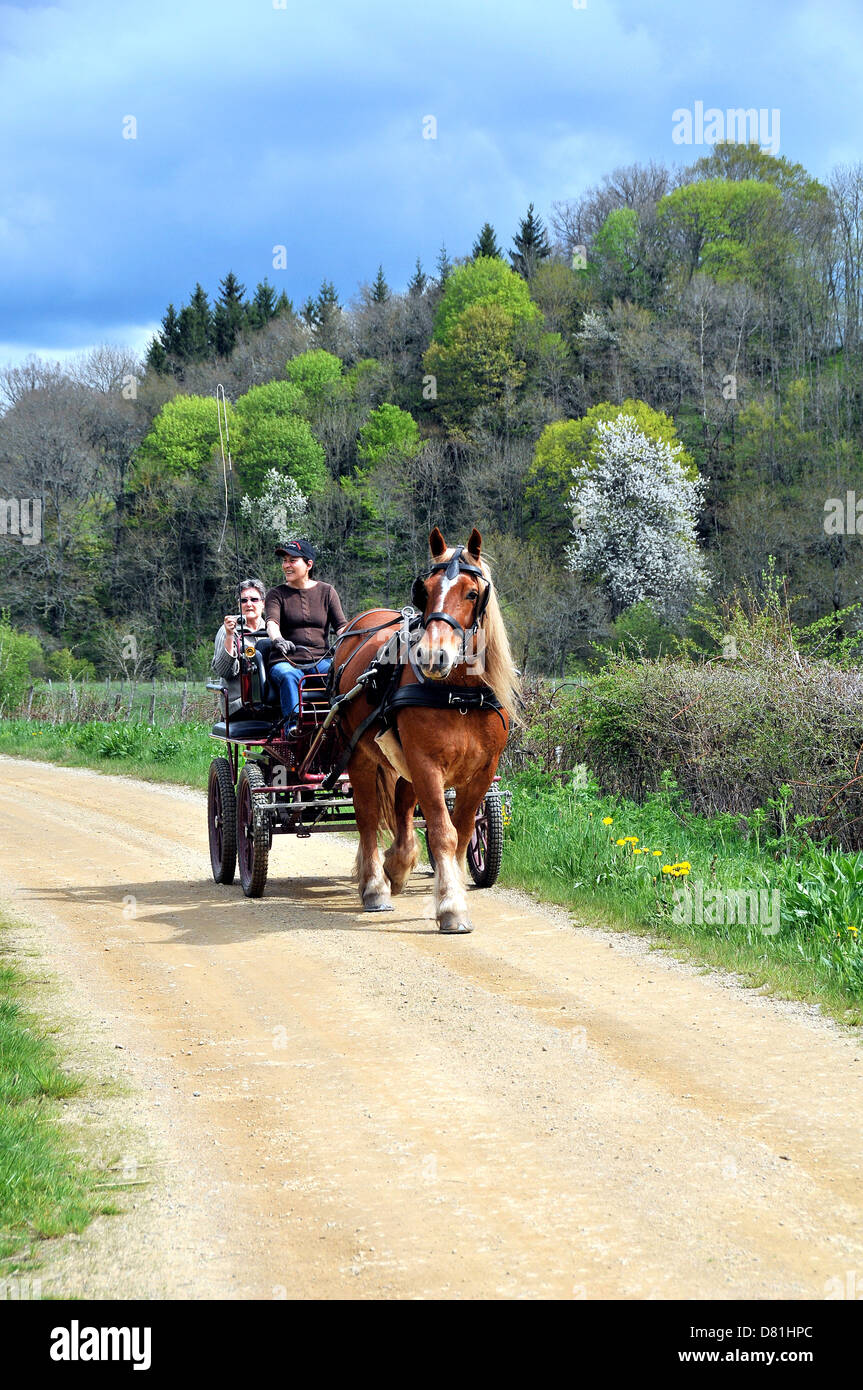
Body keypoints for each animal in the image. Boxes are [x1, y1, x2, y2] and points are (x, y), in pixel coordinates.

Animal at [329, 528, 516, 934]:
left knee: (401, 811)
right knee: (367, 817)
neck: (458, 694)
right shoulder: (426, 763)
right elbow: (442, 832)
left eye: (472, 593)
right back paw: (375, 886)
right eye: (425, 590)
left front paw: (452, 887)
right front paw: (451, 907)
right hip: (360, 754)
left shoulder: (482, 772)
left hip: (402, 763)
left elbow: (462, 833)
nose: (433, 656)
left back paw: (396, 867)